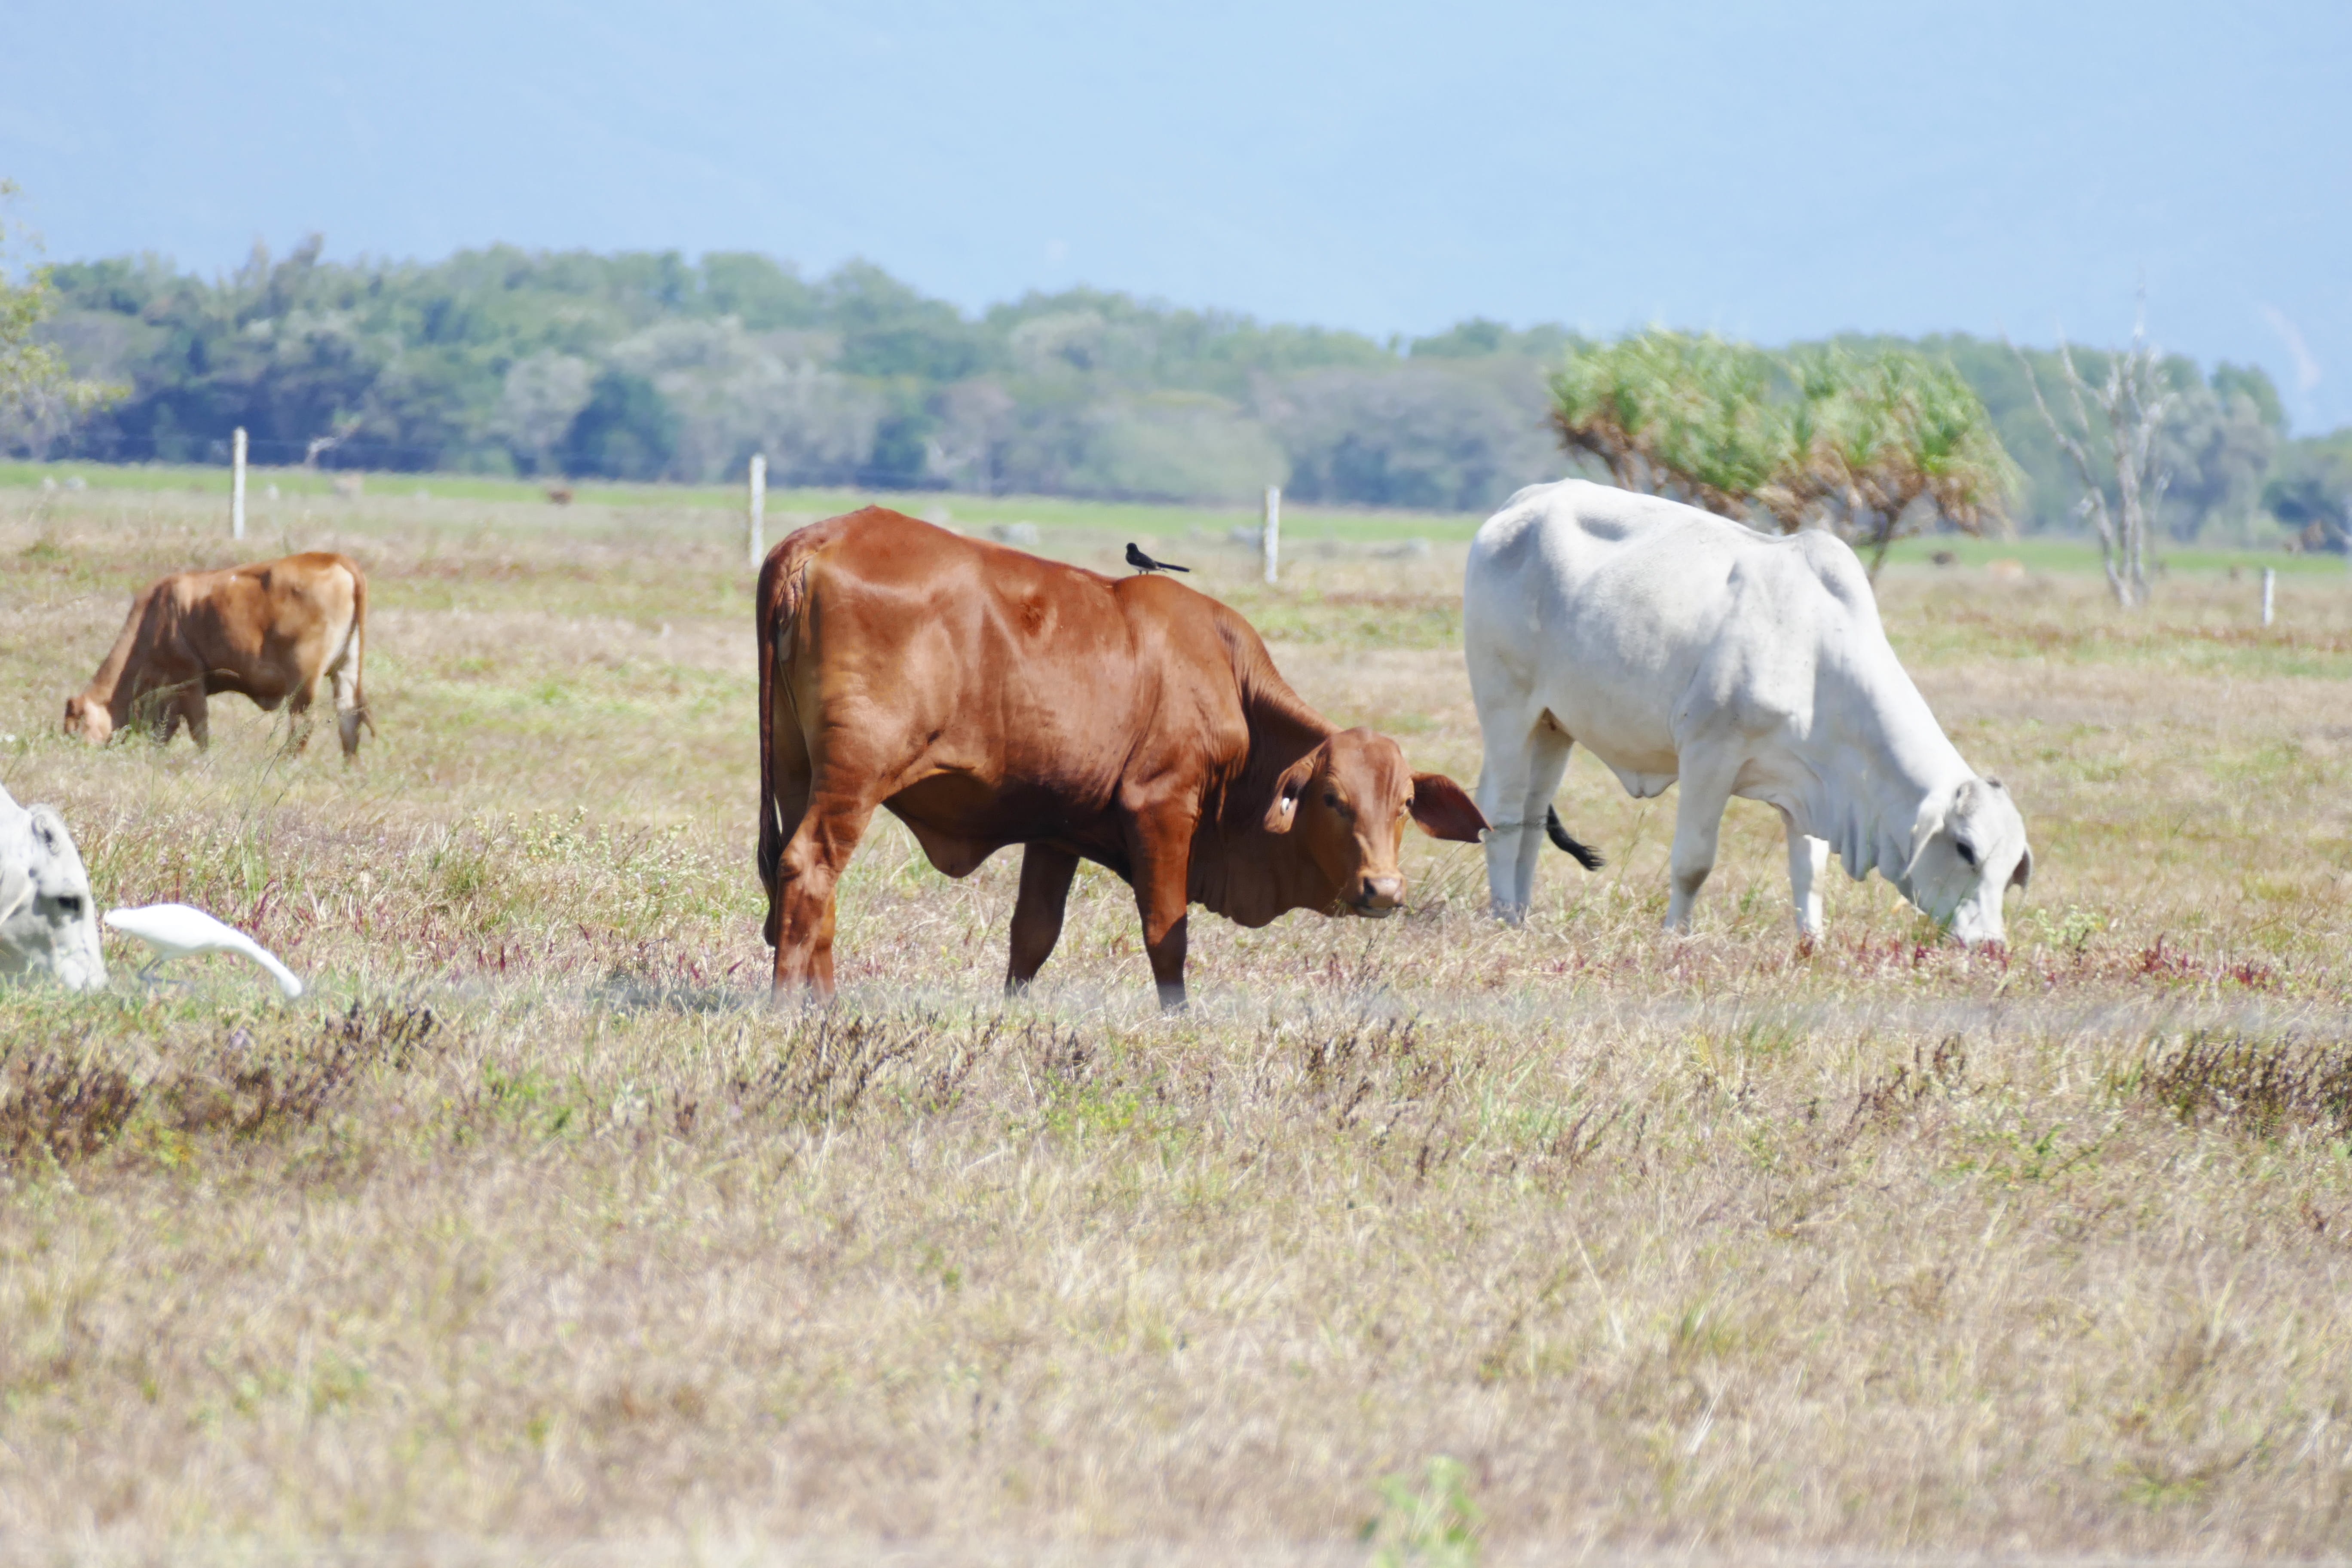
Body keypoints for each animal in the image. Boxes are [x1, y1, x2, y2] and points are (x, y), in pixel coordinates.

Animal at [65, 552, 372, 759]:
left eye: (75, 729)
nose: (76, 754)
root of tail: (334, 558)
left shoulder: (189, 684)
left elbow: (199, 731)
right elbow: (164, 732)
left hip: (304, 681)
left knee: (302, 726)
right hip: (345, 669)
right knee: (349, 720)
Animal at [756, 507, 1488, 1008]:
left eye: (1404, 805)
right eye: (1332, 799)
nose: (1383, 890)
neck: (1226, 675)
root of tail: (814, 541)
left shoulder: (1056, 830)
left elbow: (1033, 935)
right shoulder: (1161, 807)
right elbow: (1168, 931)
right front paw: (1178, 1018)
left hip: (800, 772)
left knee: (810, 886)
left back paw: (825, 1005)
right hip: (855, 779)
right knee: (808, 868)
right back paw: (790, 1007)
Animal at [1465, 480, 2031, 944]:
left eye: (2011, 869)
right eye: (1966, 849)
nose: (1991, 945)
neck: (1818, 655)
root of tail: (1520, 504)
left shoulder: (1812, 785)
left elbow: (1810, 873)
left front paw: (1811, 943)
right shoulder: (1708, 754)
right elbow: (1693, 863)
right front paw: (1674, 937)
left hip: (1552, 725)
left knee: (1533, 818)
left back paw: (1521, 914)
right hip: (1506, 706)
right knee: (1503, 811)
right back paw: (1502, 915)